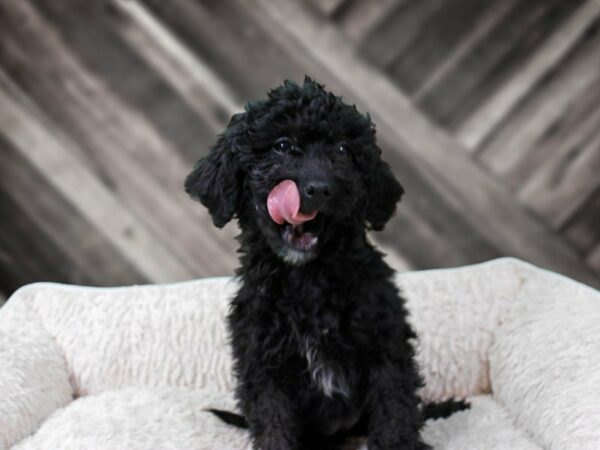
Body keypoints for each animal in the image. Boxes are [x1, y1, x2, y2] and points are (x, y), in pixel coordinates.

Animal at [185, 78, 466, 450]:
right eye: (282, 145)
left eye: (344, 150)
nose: (318, 188)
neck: (308, 279)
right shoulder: (263, 363)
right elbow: (273, 422)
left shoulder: (385, 341)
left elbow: (395, 408)